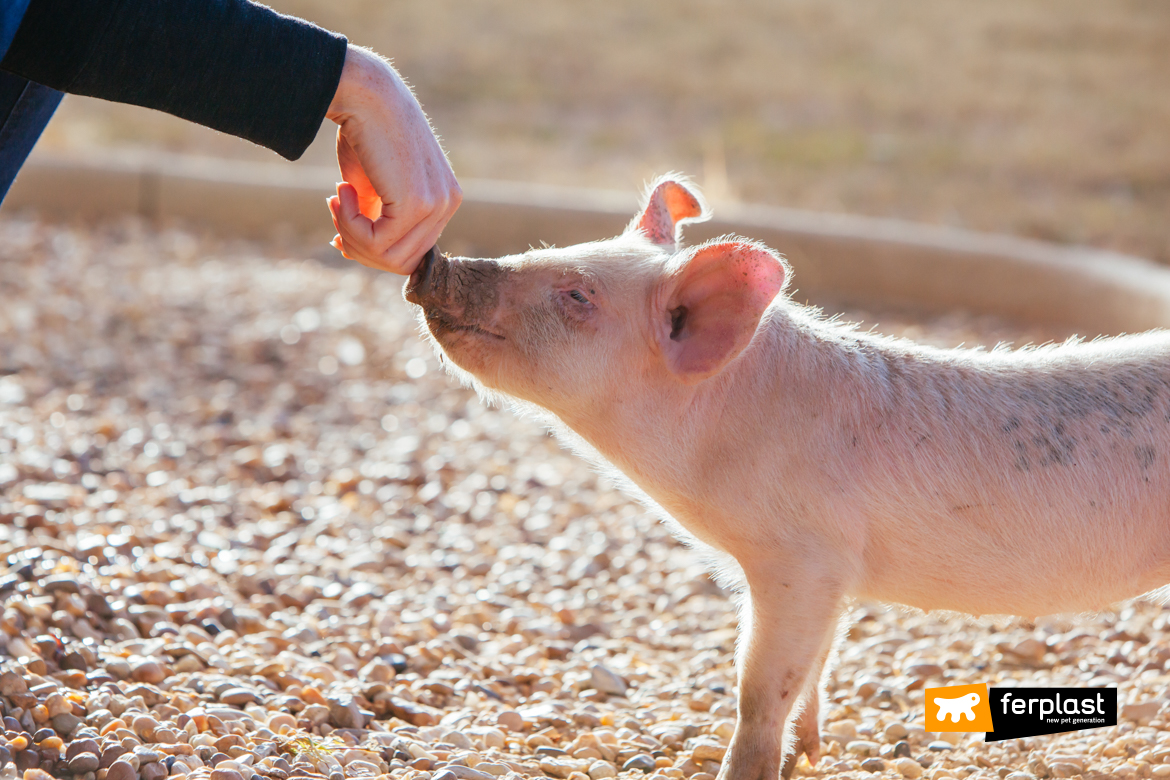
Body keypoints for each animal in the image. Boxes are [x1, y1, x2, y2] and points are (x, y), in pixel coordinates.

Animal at [404, 176, 1170, 780]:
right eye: (550, 252)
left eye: (576, 295)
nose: (436, 260)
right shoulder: (831, 579)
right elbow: (818, 664)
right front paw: (811, 754)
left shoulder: (802, 557)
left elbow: (759, 688)